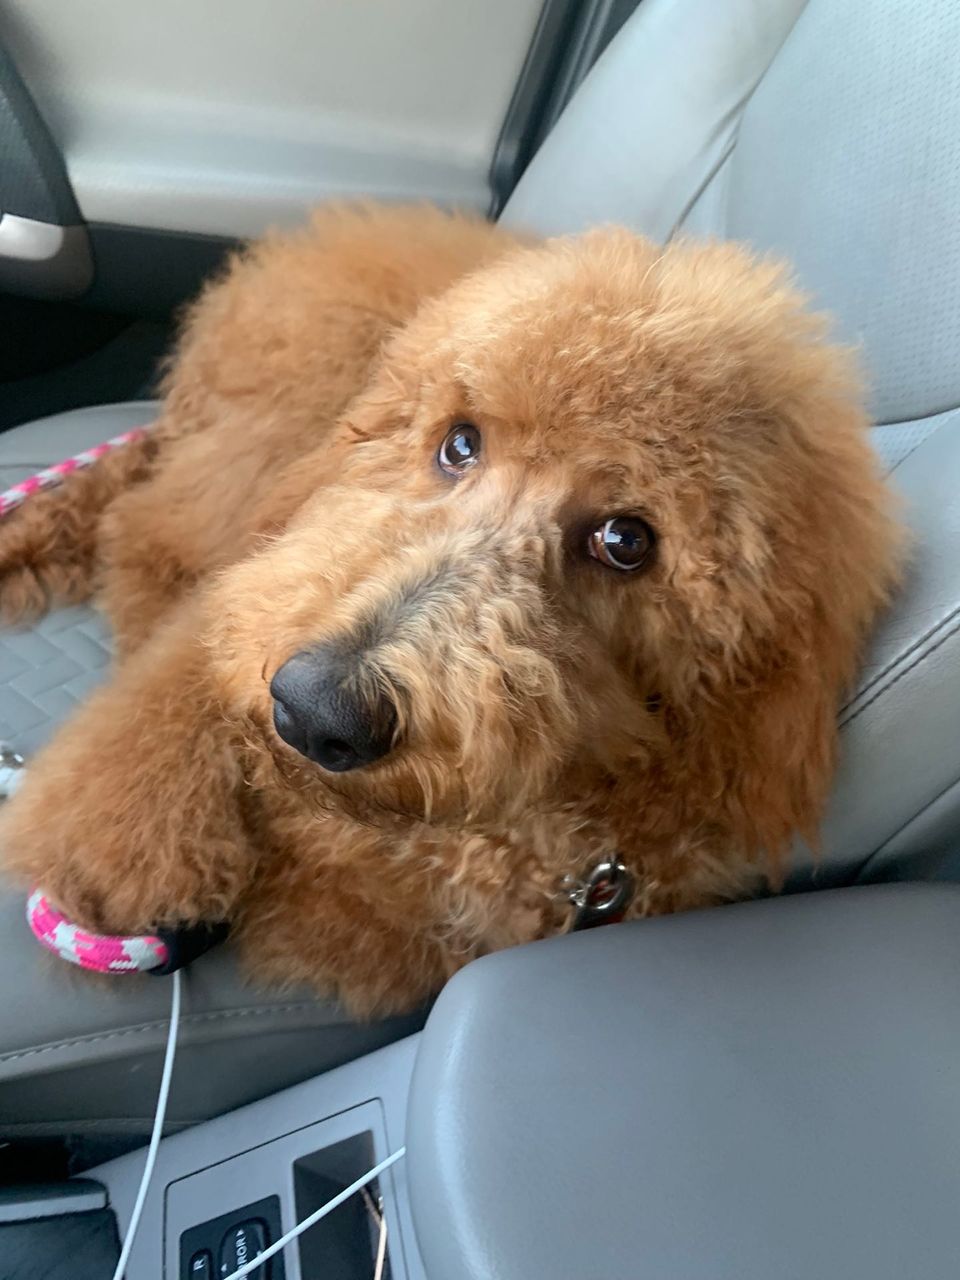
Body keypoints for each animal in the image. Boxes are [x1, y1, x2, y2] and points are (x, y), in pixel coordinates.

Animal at [0, 204, 902, 1014]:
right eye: (459, 443)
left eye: (625, 540)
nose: (314, 709)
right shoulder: (271, 577)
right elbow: (158, 718)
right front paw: (127, 855)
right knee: (143, 527)